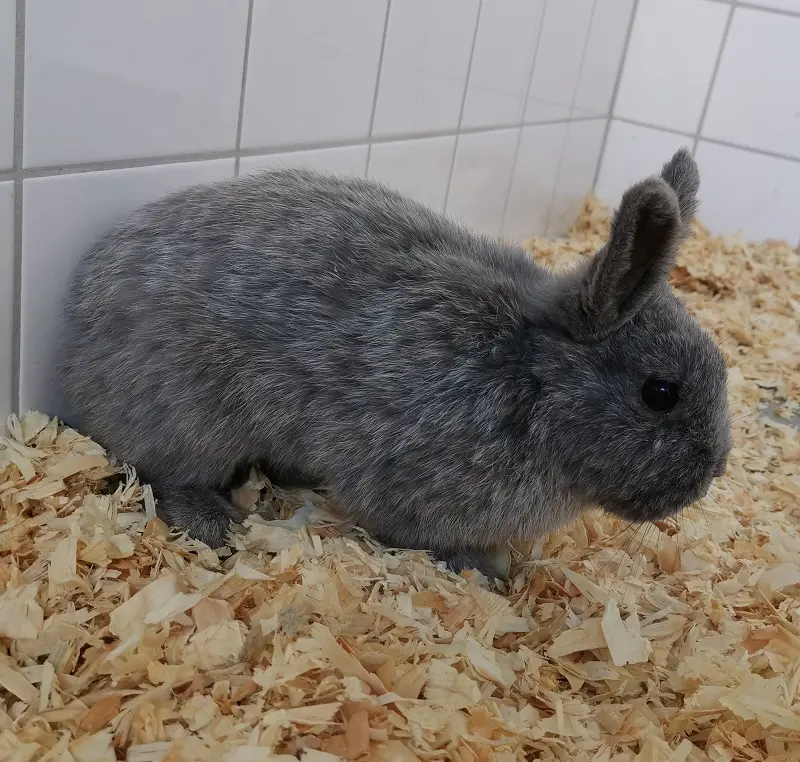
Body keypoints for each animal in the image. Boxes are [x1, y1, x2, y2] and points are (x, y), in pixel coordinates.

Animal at [58, 147, 732, 579]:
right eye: (660, 393)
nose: (709, 477)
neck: (533, 378)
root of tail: (81, 313)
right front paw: (488, 572)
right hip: (195, 416)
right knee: (162, 473)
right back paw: (217, 523)